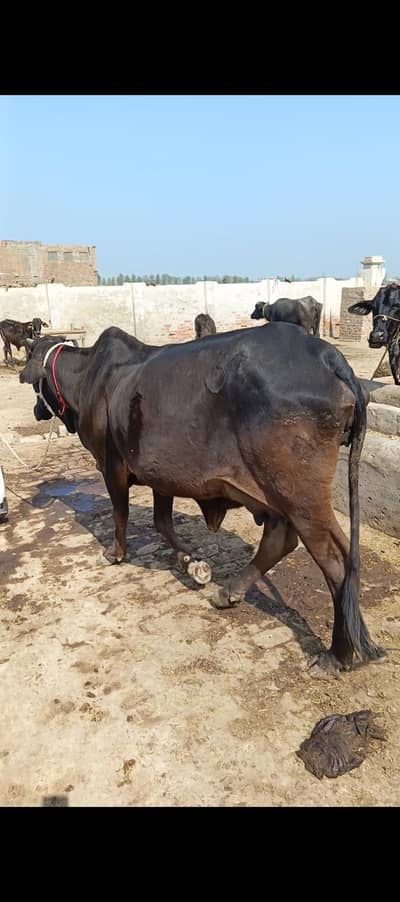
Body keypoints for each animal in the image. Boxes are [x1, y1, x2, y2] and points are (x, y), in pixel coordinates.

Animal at [20, 323, 382, 676]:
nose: (37, 410)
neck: (89, 378)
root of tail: (327, 356)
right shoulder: (160, 475)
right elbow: (162, 523)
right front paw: (193, 563)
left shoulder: (113, 466)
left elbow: (120, 514)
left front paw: (115, 553)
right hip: (279, 491)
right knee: (295, 543)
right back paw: (230, 594)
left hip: (298, 493)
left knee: (333, 561)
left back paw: (337, 655)